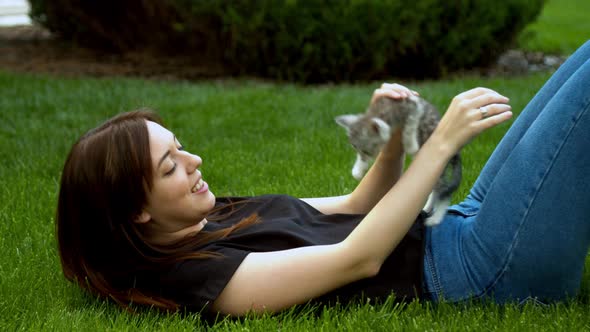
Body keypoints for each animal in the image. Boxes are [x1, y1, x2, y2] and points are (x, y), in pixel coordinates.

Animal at [338, 94, 462, 227]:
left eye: (367, 151)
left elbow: (409, 126)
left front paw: (410, 145)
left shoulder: (414, 104)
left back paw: (437, 217)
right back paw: (428, 207)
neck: (383, 109)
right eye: (355, 148)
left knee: (444, 190)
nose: (363, 157)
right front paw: (358, 169)